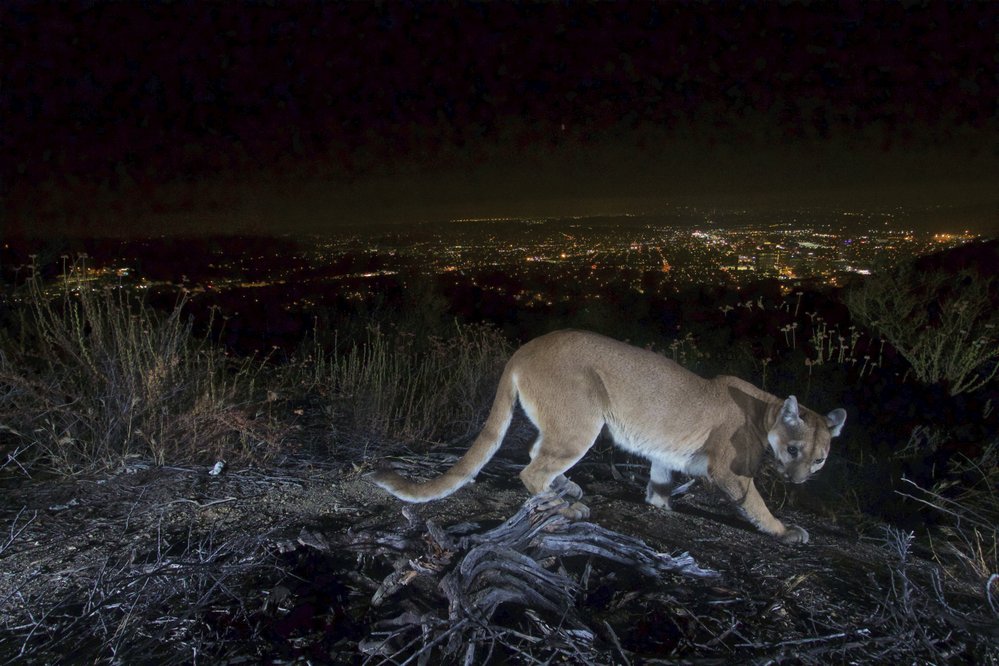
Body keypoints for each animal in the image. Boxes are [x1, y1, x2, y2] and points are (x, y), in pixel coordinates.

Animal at [372, 330, 848, 544]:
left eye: (820, 458)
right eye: (794, 449)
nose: (800, 480)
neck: (766, 410)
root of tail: (525, 348)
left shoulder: (666, 454)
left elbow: (660, 481)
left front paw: (661, 505)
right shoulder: (729, 471)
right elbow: (755, 503)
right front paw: (784, 530)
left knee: (536, 452)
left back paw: (567, 488)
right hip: (583, 421)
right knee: (532, 469)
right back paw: (568, 504)